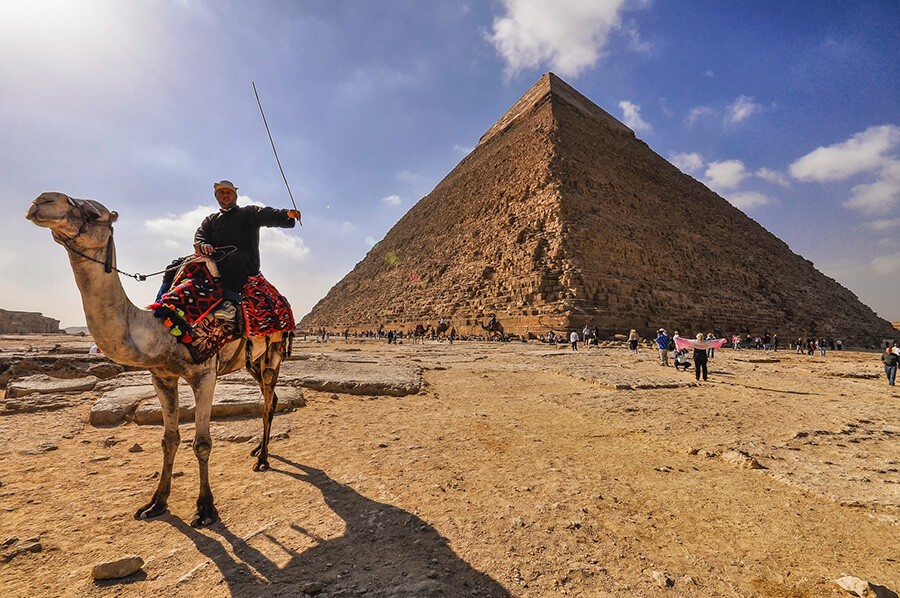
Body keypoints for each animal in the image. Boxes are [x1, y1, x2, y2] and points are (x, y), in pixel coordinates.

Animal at [25, 193, 292, 528]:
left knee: (268, 400)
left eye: (93, 213)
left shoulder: (205, 375)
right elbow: (169, 440)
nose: (42, 200)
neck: (162, 327)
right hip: (251, 360)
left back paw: (264, 459)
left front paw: (205, 508)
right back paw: (257, 448)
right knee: (270, 397)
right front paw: (156, 503)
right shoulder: (162, 376)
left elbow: (201, 443)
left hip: (273, 352)